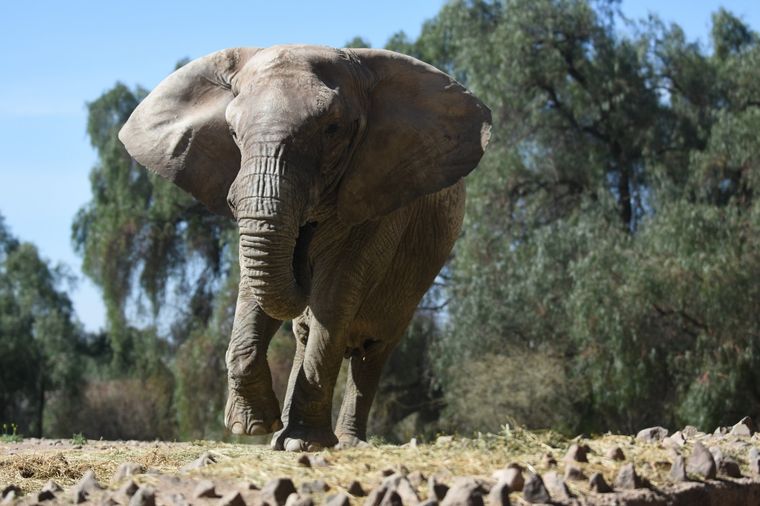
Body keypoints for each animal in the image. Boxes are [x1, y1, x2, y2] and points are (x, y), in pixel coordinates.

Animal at [119, 45, 490, 451]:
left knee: (372, 348)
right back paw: (278, 437)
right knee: (306, 332)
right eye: (232, 132)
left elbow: (334, 294)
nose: (302, 257)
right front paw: (252, 427)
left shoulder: (377, 198)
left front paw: (306, 443)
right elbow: (255, 288)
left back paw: (344, 441)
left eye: (332, 129)